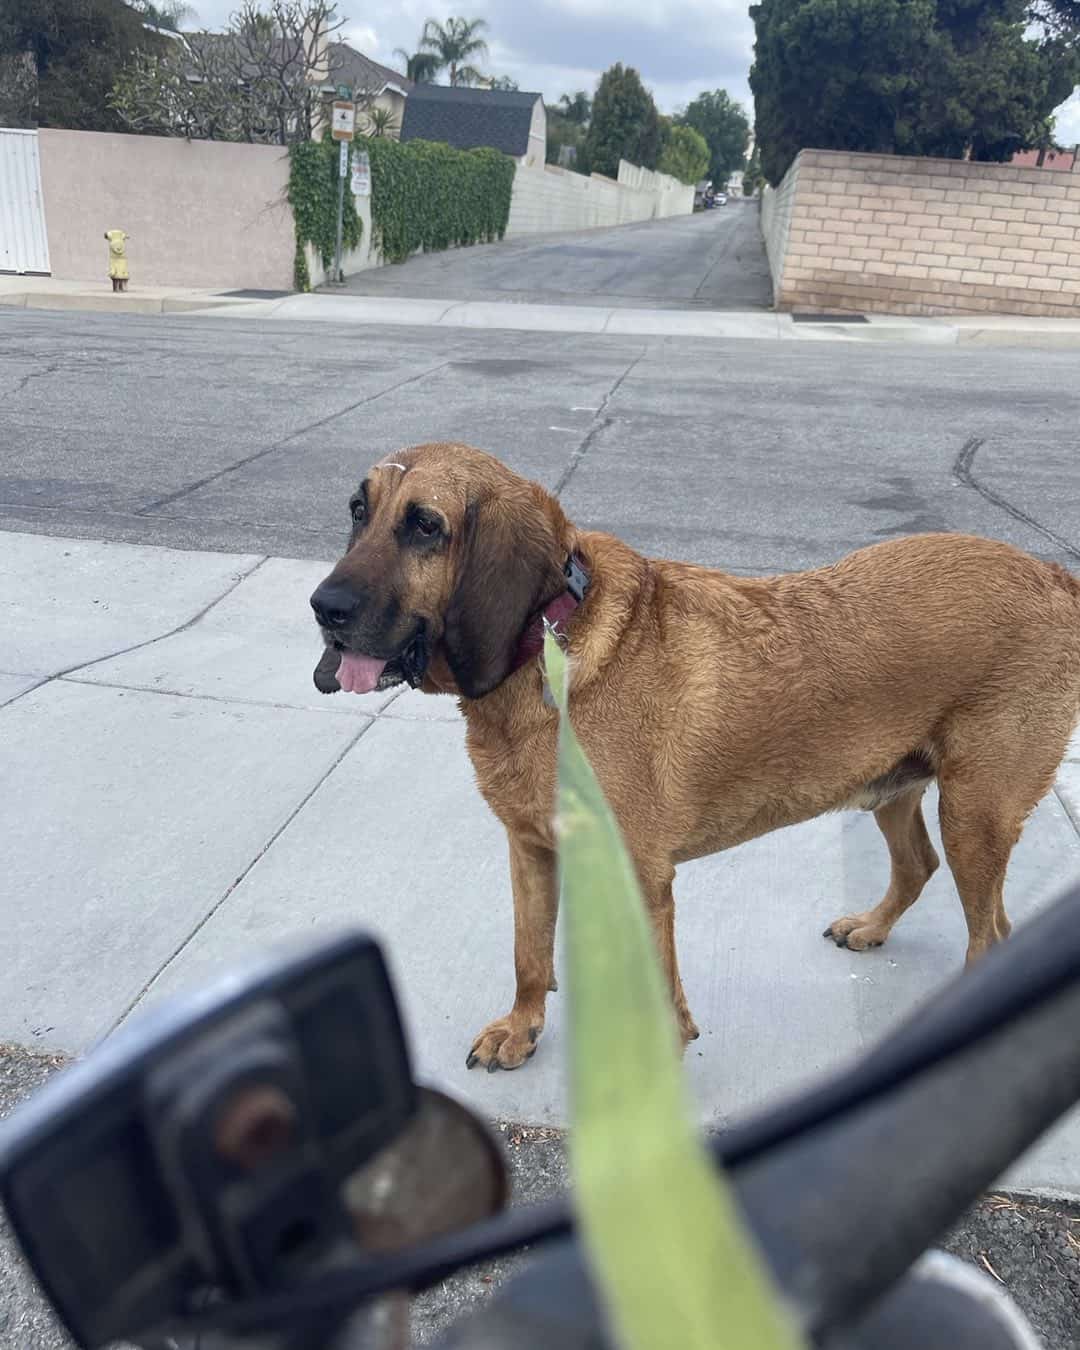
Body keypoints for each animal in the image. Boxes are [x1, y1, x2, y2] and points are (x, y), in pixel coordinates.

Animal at [307, 445, 1080, 1074]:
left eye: (425, 526)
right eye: (358, 511)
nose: (324, 608)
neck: (549, 642)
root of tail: (1054, 575)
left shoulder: (640, 878)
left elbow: (653, 996)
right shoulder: (530, 849)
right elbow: (530, 953)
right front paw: (522, 1029)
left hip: (976, 812)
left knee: (992, 932)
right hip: (896, 790)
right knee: (918, 865)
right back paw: (871, 926)